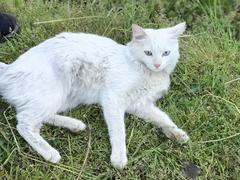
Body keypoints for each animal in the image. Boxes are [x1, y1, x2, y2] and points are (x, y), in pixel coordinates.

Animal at [0, 22, 189, 169]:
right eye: (148, 53)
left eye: (166, 53)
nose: (157, 64)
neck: (148, 73)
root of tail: (9, 69)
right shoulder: (113, 98)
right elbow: (119, 130)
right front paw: (119, 158)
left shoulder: (139, 104)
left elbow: (162, 117)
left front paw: (177, 133)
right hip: (52, 93)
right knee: (24, 123)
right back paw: (51, 153)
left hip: (61, 98)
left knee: (39, 118)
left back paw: (74, 125)